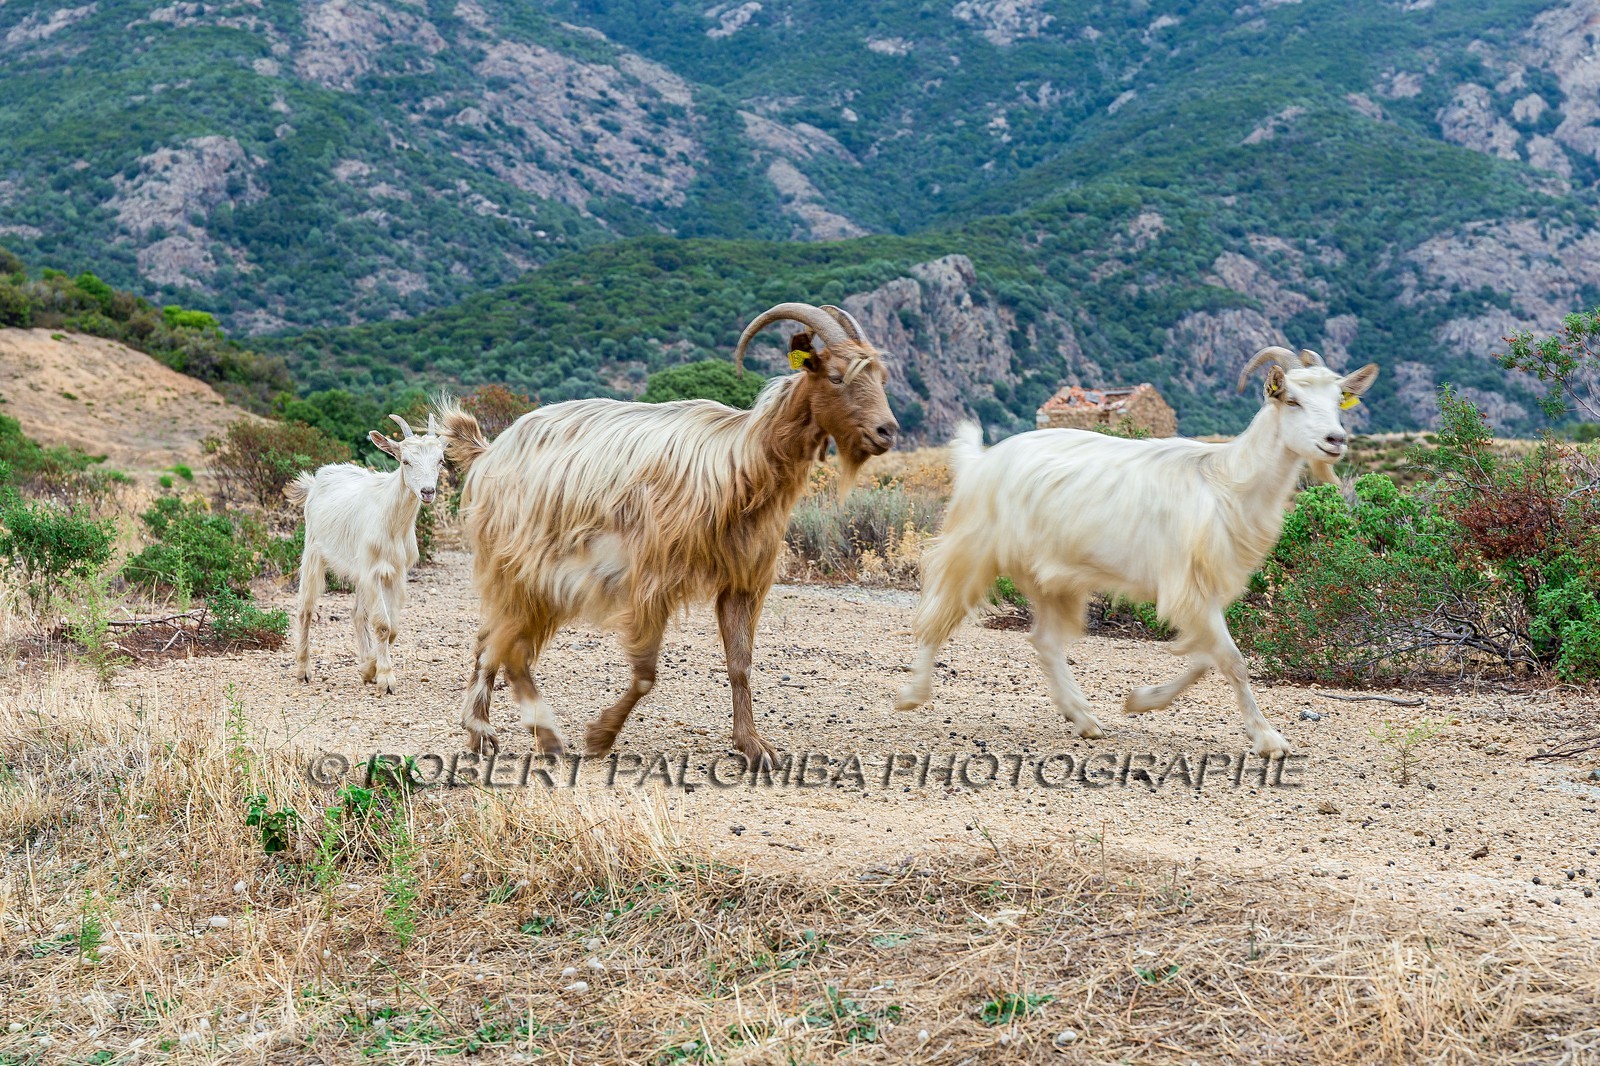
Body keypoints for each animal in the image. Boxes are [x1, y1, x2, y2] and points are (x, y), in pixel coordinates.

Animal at [285, 414, 445, 695]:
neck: (391, 520)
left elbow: (392, 627)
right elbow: (382, 624)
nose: (427, 491)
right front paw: (385, 678)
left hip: (359, 570)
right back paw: (303, 670)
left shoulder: (396, 572)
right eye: (405, 461)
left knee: (357, 614)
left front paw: (369, 668)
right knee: (306, 608)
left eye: (440, 460)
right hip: (313, 551)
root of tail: (316, 480)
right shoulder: (372, 571)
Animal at [435, 302, 899, 764]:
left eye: (880, 378)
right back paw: (516, 735)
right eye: (836, 377)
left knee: (498, 642)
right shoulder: (651, 578)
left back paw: (505, 734)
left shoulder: (741, 580)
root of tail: (489, 451)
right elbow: (645, 673)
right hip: (519, 565)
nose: (887, 431)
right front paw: (600, 736)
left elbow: (740, 663)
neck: (742, 461)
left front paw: (751, 745)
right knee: (501, 643)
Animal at [896, 347, 1379, 757]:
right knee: (937, 616)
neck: (1227, 481)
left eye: (1338, 399)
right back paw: (913, 694)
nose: (1335, 440)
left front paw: (1141, 700)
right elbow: (1232, 661)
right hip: (974, 549)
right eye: (1292, 400)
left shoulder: (1203, 591)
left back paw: (1083, 718)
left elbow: (1206, 659)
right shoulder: (1187, 586)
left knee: (1045, 641)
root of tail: (980, 461)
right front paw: (1267, 738)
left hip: (1053, 575)